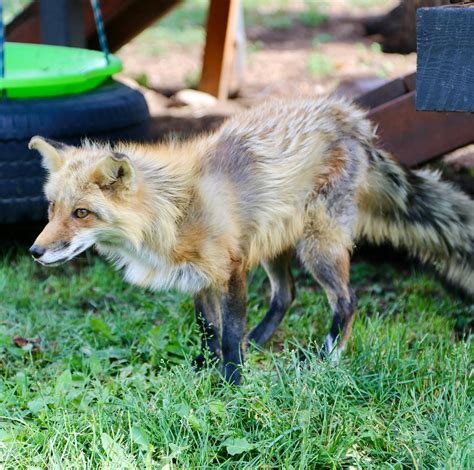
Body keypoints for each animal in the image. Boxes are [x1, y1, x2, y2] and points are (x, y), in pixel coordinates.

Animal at [29, 97, 474, 384]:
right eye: (52, 208)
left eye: (81, 213)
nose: (35, 251)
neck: (174, 211)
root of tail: (346, 115)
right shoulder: (201, 277)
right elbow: (210, 330)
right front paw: (207, 369)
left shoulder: (230, 270)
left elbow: (228, 333)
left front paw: (232, 381)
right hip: (273, 242)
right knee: (286, 294)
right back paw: (258, 342)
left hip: (317, 247)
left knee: (347, 301)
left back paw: (325, 358)